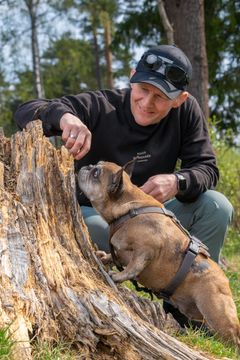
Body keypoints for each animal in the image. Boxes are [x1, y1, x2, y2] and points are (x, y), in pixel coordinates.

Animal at [78, 160, 239, 348]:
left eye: (96, 173)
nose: (86, 166)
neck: (128, 209)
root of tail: (225, 280)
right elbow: (115, 255)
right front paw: (104, 258)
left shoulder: (146, 249)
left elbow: (133, 267)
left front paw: (117, 276)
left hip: (216, 310)